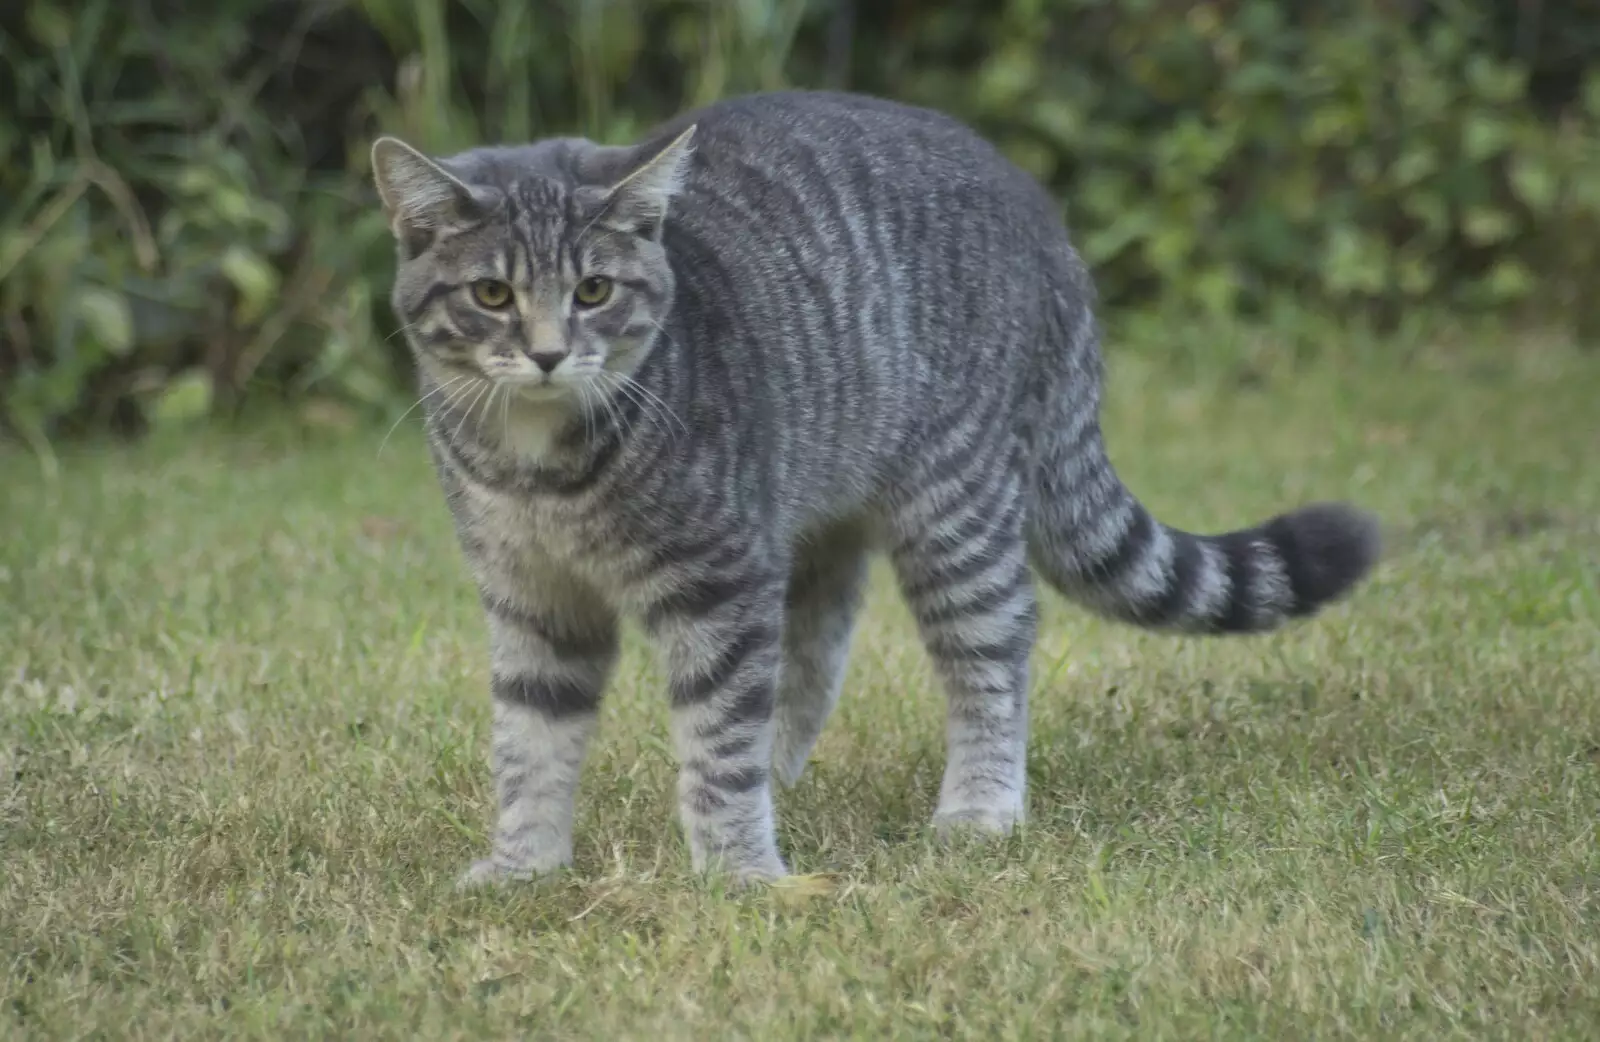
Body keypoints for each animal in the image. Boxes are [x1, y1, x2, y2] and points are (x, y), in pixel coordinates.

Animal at [371, 91, 1376, 889]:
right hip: (818, 520)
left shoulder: (718, 578)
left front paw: (738, 875)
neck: (537, 466)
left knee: (992, 652)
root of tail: (1044, 217)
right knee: (811, 662)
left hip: (955, 509)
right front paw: (525, 867)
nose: (547, 353)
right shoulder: (533, 596)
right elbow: (531, 739)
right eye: (492, 295)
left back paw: (978, 807)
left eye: (593, 290)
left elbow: (718, 737)